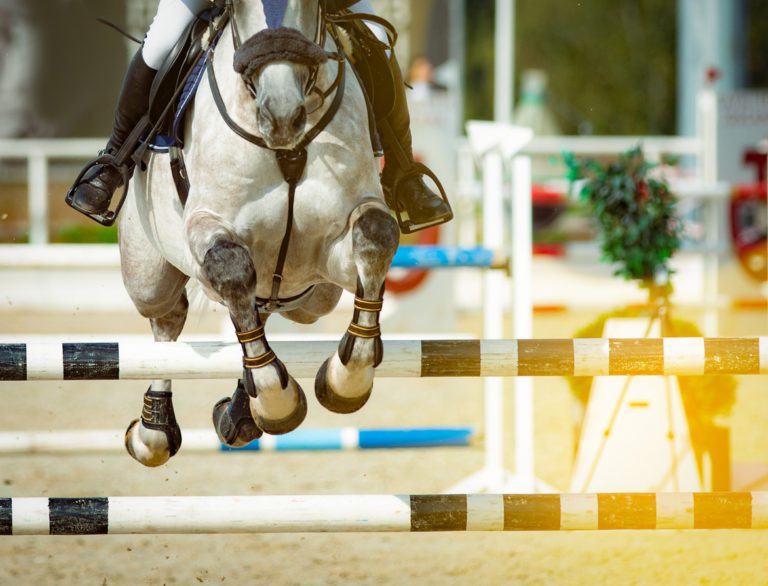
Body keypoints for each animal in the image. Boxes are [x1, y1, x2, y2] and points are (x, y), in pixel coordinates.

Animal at [118, 0, 399, 466]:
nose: (282, 116)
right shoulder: (207, 225)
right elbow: (230, 268)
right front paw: (276, 403)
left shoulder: (333, 246)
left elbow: (376, 235)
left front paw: (344, 382)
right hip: (146, 275)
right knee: (169, 317)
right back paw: (153, 431)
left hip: (311, 298)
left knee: (262, 306)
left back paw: (238, 413)